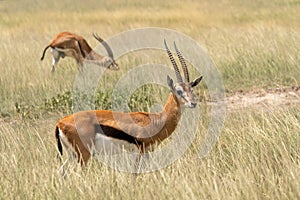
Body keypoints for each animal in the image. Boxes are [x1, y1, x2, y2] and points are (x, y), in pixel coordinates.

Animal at [54, 39, 204, 166]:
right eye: (179, 91)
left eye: (191, 89)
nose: (193, 103)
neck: (156, 120)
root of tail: (60, 123)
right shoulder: (140, 152)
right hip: (83, 156)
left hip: (72, 156)